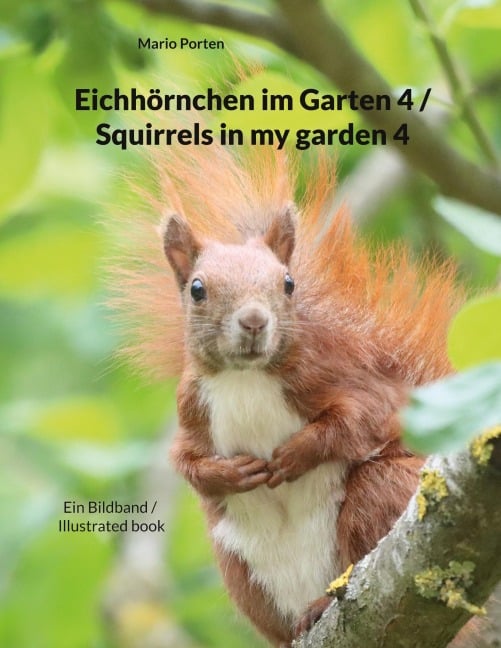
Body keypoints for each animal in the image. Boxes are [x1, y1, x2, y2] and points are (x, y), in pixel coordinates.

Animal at [113, 144, 463, 646]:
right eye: (197, 289)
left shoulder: (343, 376)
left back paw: (321, 604)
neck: (246, 379)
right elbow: (185, 462)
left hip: (384, 491)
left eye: (288, 283)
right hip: (238, 567)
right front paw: (229, 474)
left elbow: (364, 418)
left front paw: (297, 453)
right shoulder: (191, 409)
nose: (255, 320)